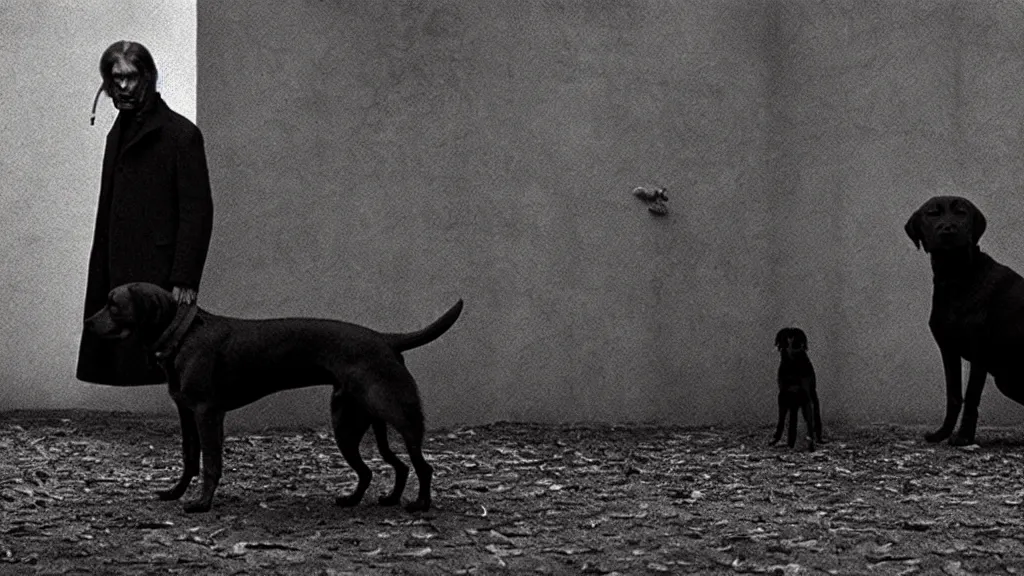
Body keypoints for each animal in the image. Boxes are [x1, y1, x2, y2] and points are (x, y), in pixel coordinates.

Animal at [83, 282, 464, 510]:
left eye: (113, 304)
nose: (86, 322)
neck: (183, 335)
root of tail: (386, 339)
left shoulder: (207, 413)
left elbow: (210, 463)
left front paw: (202, 503)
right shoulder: (186, 414)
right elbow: (190, 459)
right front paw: (176, 493)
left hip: (400, 417)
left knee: (422, 465)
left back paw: (420, 504)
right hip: (352, 425)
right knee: (386, 467)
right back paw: (370, 499)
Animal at [905, 195, 1024, 444]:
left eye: (961, 213)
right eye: (933, 214)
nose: (948, 228)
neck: (957, 277)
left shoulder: (980, 352)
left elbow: (970, 396)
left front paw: (963, 437)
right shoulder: (948, 350)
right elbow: (953, 396)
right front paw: (942, 433)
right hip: (1007, 380)